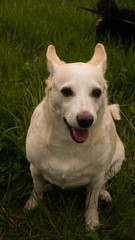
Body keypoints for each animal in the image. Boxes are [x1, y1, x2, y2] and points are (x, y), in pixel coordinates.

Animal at [25, 43, 124, 231]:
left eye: (97, 92)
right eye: (66, 91)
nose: (86, 120)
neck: (68, 144)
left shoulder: (96, 178)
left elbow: (91, 202)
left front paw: (91, 221)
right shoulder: (35, 168)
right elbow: (37, 188)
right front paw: (34, 203)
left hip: (117, 160)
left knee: (104, 181)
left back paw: (104, 194)